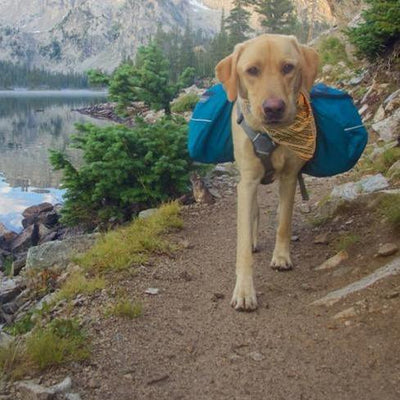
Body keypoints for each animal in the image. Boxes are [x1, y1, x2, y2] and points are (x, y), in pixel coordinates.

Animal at [216, 34, 318, 310]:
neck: (270, 134)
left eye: (288, 67)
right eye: (252, 70)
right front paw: (244, 291)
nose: (273, 108)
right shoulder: (247, 182)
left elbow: (284, 221)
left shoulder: (290, 177)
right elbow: (241, 244)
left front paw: (281, 256)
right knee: (254, 213)